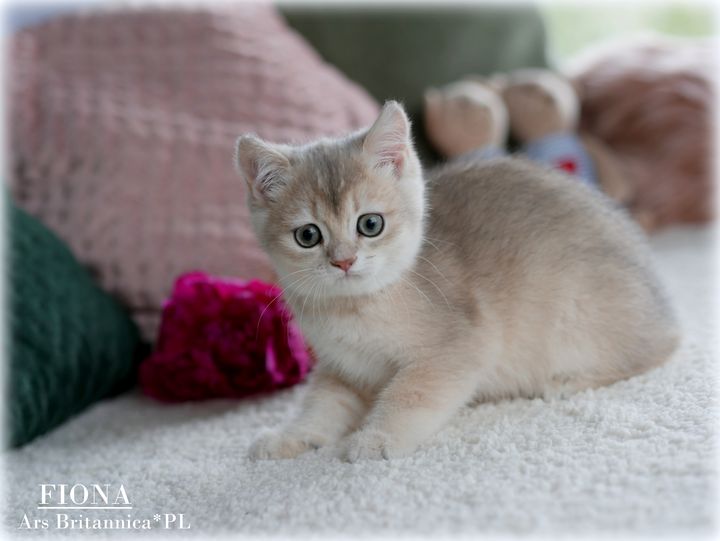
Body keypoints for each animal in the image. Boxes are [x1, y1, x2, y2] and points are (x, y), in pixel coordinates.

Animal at [235, 101, 679, 462]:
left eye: (370, 224)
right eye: (308, 236)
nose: (343, 261)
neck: (357, 306)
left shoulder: (457, 348)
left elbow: (410, 394)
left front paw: (377, 438)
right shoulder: (343, 369)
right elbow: (321, 406)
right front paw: (290, 437)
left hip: (575, 316)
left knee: (655, 352)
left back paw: (568, 381)